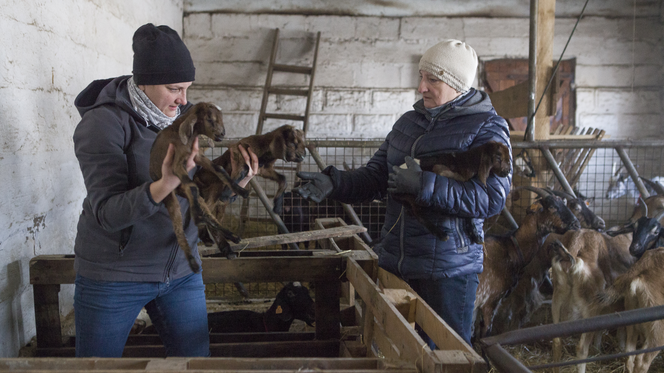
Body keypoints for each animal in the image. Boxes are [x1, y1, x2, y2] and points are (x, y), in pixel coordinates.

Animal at [148, 101, 244, 270]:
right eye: (209, 119)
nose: (222, 134)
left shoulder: (197, 156)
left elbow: (219, 169)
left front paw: (239, 189)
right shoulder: (176, 164)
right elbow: (192, 185)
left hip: (189, 194)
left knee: (208, 212)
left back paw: (230, 235)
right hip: (170, 197)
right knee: (179, 227)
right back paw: (192, 261)